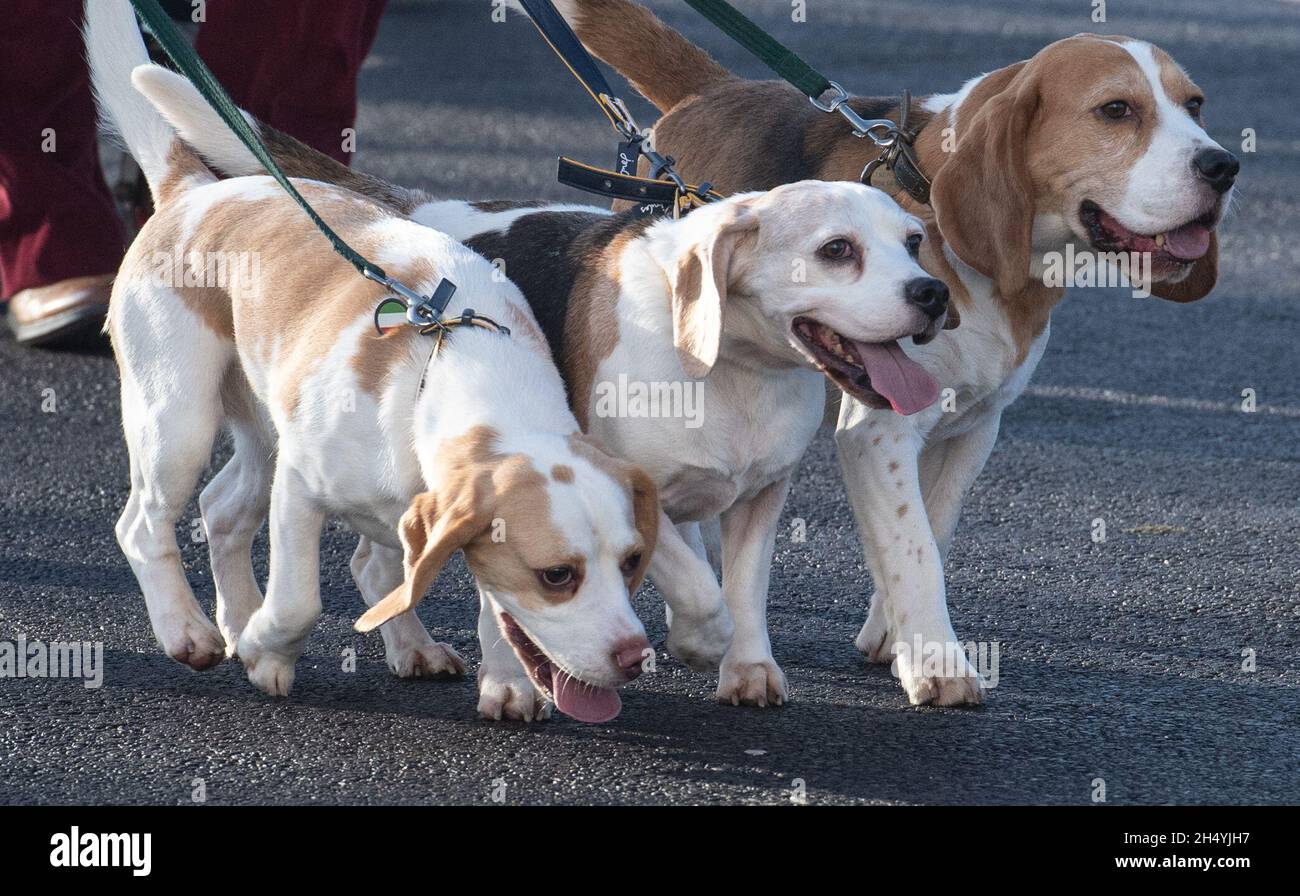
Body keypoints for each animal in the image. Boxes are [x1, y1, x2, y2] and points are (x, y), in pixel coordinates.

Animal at [90, 0, 655, 723]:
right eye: (557, 575)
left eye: (632, 560)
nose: (636, 658)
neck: (447, 374)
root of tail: (195, 189)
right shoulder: (300, 487)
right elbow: (300, 600)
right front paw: (266, 649)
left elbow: (479, 607)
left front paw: (507, 683)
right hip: (177, 421)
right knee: (143, 525)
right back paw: (191, 629)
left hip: (262, 431)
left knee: (224, 512)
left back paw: (281, 624)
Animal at [139, 64, 956, 707]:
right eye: (837, 251)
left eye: (915, 242)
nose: (932, 295)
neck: (733, 370)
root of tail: (406, 207)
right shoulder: (633, 482)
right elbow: (700, 585)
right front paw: (700, 640)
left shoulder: (761, 493)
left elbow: (746, 589)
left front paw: (749, 668)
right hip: (181, 421)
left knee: (316, 539)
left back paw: (398, 647)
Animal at [530, 0, 1237, 702]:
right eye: (1116, 110)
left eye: (1196, 104)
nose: (1224, 167)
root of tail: (716, 89)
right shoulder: (878, 428)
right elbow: (915, 547)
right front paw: (939, 665)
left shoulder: (975, 426)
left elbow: (930, 531)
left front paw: (895, 634)